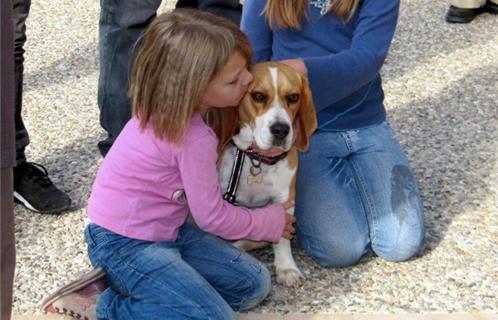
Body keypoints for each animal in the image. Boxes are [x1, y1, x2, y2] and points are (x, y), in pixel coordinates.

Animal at [208, 61, 318, 286]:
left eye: (293, 97)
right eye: (258, 96)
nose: (281, 130)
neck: (257, 159)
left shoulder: (285, 199)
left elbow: (281, 237)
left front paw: (286, 268)